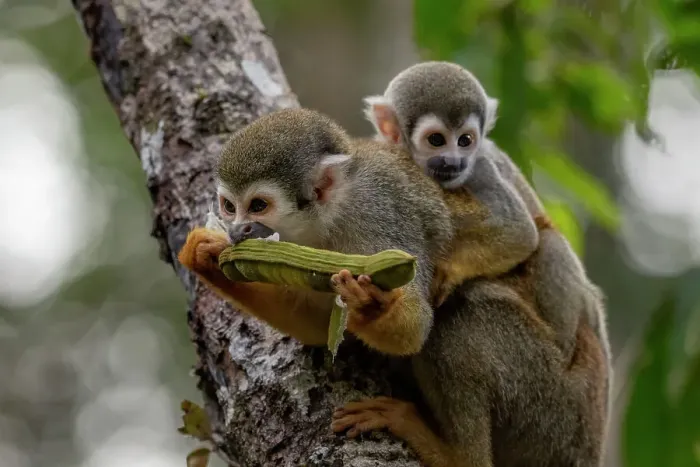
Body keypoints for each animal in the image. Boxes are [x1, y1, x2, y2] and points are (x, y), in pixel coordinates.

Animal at [177, 108, 609, 467]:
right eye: (229, 206)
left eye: (258, 206)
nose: (237, 231)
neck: (331, 216)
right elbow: (318, 327)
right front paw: (207, 258)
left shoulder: (380, 215)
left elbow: (415, 327)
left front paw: (371, 305)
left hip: (552, 414)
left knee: (461, 317)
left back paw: (456, 455)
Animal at [363, 61, 611, 370]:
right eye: (436, 140)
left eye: (465, 140)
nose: (454, 161)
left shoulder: (480, 168)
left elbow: (519, 232)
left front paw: (451, 271)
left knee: (548, 240)